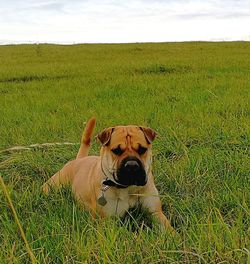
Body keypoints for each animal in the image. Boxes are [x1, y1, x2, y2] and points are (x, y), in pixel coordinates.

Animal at [42, 117, 174, 231]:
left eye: (142, 149)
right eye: (116, 150)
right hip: (53, 185)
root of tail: (79, 159)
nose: (132, 165)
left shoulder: (156, 213)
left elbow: (169, 230)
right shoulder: (105, 220)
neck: (128, 188)